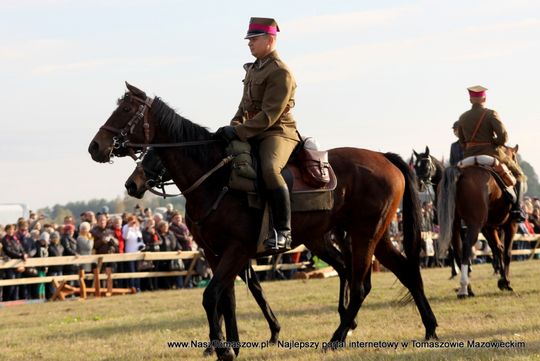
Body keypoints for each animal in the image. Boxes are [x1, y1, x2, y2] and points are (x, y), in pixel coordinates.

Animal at [86, 83, 436, 358]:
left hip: (364, 234)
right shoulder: (215, 253)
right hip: (367, 235)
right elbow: (226, 297)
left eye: (125, 110)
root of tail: (384, 157)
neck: (216, 177)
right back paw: (428, 329)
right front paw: (232, 344)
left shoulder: (238, 249)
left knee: (362, 282)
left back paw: (338, 338)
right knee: (399, 271)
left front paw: (225, 347)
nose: (95, 147)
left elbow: (214, 295)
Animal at [436, 145, 520, 296]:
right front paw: (506, 282)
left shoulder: (489, 227)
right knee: (467, 247)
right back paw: (464, 288)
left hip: (455, 225)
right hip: (474, 225)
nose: (515, 170)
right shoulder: (511, 225)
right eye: (514, 157)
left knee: (458, 249)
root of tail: (461, 172)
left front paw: (502, 281)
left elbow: (497, 249)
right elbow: (507, 253)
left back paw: (468, 288)